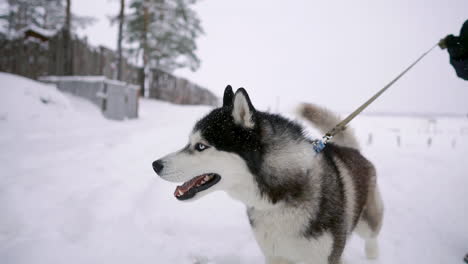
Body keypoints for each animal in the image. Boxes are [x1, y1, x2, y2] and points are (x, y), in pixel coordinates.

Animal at [154, 85, 384, 262]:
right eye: (189, 142)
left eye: (201, 146)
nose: (155, 165)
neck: (280, 200)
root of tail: (352, 150)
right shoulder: (276, 256)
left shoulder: (324, 257)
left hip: (367, 223)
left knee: (372, 238)